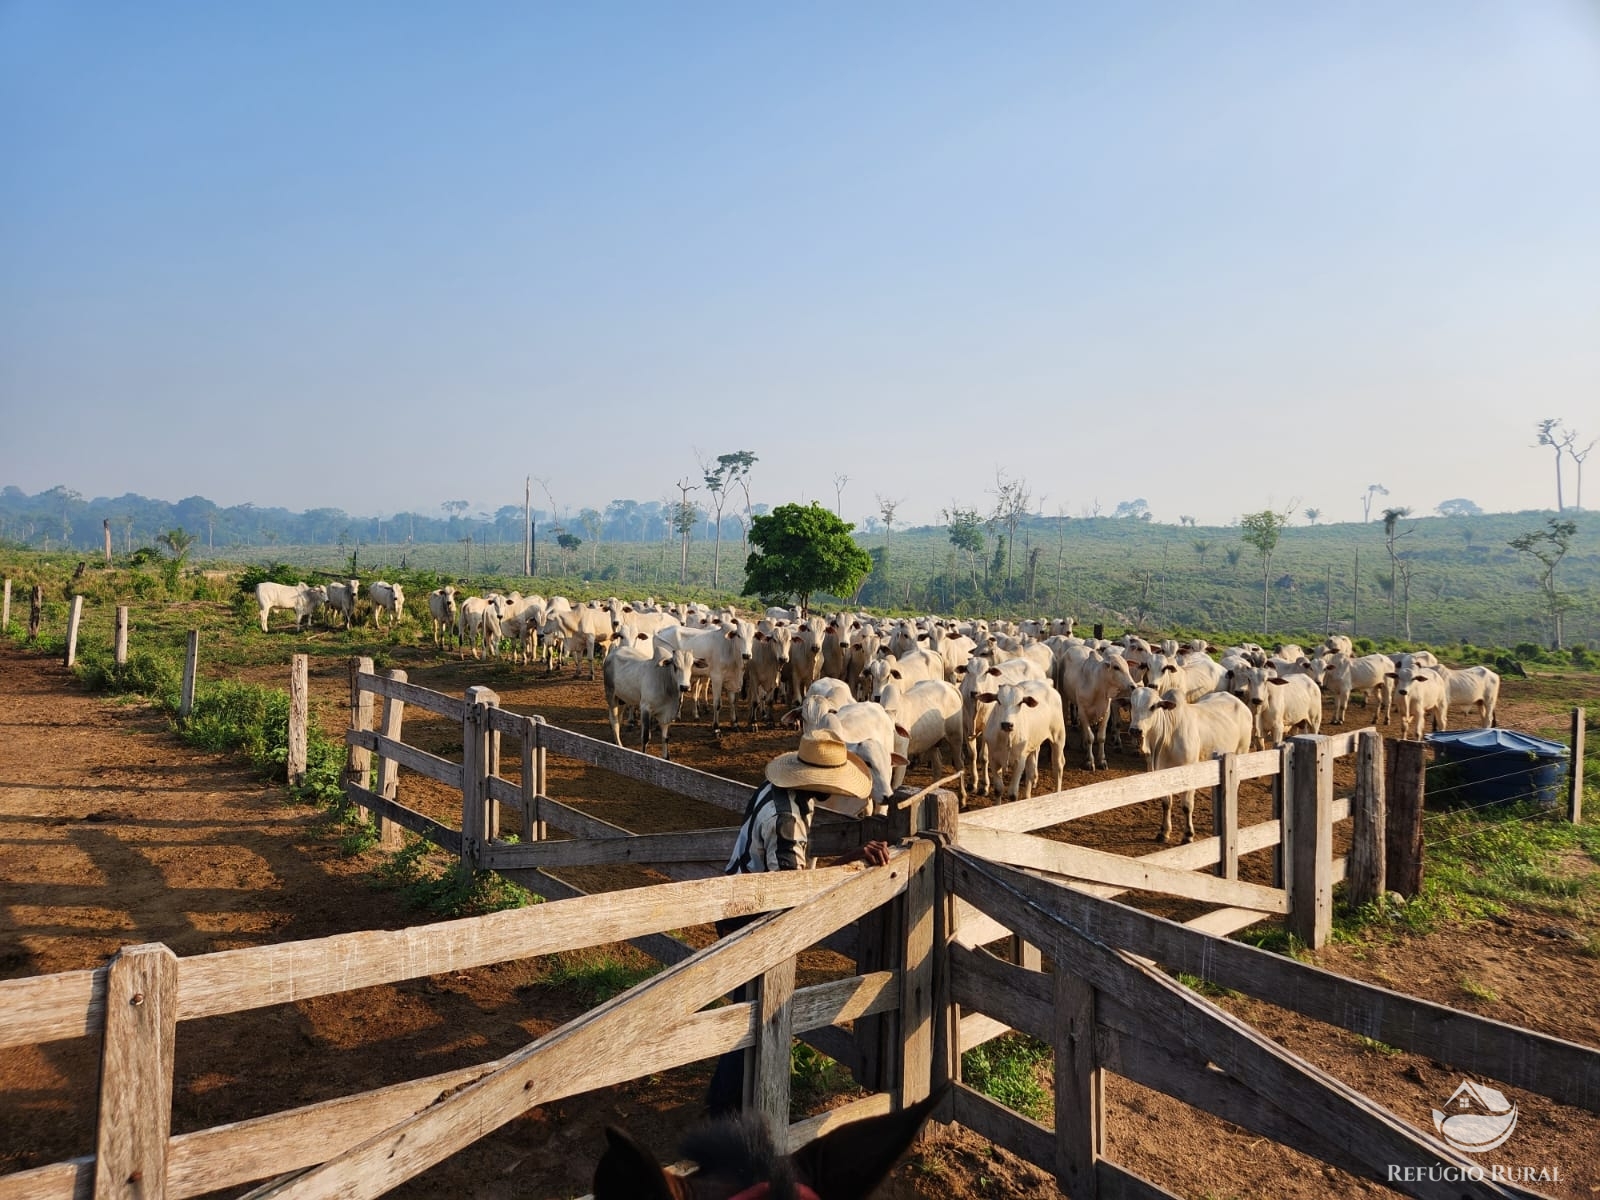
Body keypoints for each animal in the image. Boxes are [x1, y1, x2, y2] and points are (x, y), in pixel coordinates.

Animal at [1132, 684, 1254, 844]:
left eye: (1153, 706)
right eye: (1131, 704)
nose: (1135, 730)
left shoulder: (1189, 774)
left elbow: (1186, 806)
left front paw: (1188, 835)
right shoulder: (1163, 772)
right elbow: (1166, 803)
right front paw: (1164, 832)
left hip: (1241, 753)